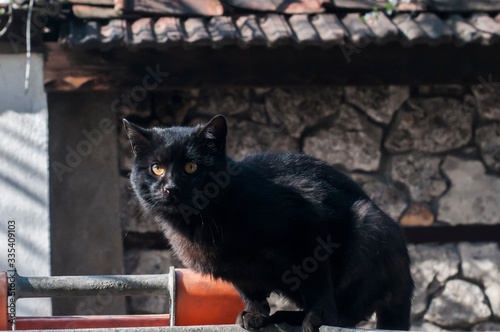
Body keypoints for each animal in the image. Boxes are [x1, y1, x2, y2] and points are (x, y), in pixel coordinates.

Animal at [125, 115, 414, 332]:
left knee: (350, 312)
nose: (171, 188)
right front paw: (255, 315)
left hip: (369, 224)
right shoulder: (233, 268)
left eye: (191, 167)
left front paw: (319, 317)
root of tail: (407, 281)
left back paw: (305, 318)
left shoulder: (309, 230)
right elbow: (250, 291)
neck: (205, 222)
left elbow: (318, 284)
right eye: (157, 168)